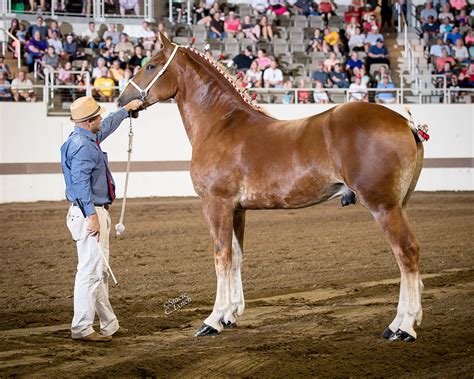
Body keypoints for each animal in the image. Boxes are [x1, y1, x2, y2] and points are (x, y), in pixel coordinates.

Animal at [117, 35, 426, 344]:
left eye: (151, 65)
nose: (122, 100)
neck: (220, 124)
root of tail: (406, 123)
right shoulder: (237, 210)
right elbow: (236, 256)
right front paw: (230, 315)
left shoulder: (216, 204)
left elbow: (221, 256)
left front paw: (213, 320)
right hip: (400, 205)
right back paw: (402, 323)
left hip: (383, 207)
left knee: (406, 252)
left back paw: (403, 327)